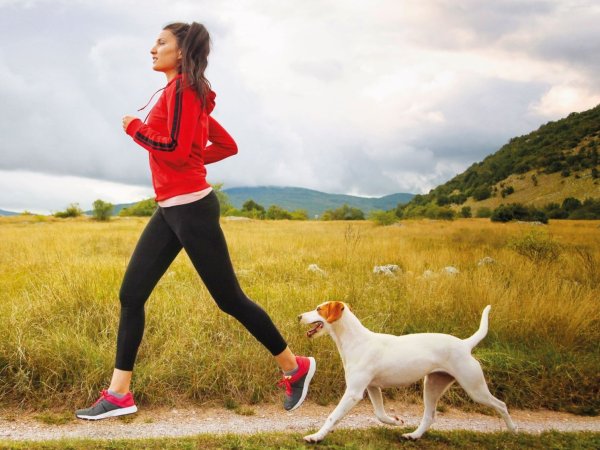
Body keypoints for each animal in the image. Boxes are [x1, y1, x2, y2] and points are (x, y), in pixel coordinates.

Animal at [298, 300, 516, 442]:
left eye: (319, 309)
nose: (299, 315)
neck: (356, 340)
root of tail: (465, 344)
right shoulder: (373, 388)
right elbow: (380, 414)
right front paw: (396, 421)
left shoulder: (353, 393)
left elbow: (332, 416)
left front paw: (315, 436)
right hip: (432, 386)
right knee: (429, 416)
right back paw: (413, 435)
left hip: (475, 388)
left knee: (501, 404)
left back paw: (513, 430)